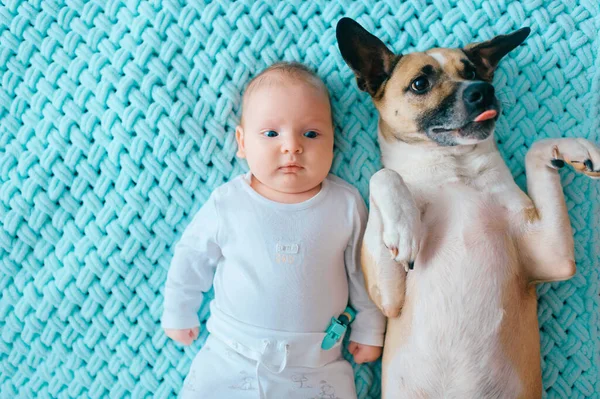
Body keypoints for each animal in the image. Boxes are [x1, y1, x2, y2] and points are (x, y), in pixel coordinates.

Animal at [338, 17, 600, 398]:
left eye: (473, 71)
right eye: (420, 83)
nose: (482, 90)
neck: (454, 170)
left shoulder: (554, 257)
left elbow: (537, 147)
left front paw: (577, 148)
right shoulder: (388, 299)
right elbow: (383, 174)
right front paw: (404, 227)